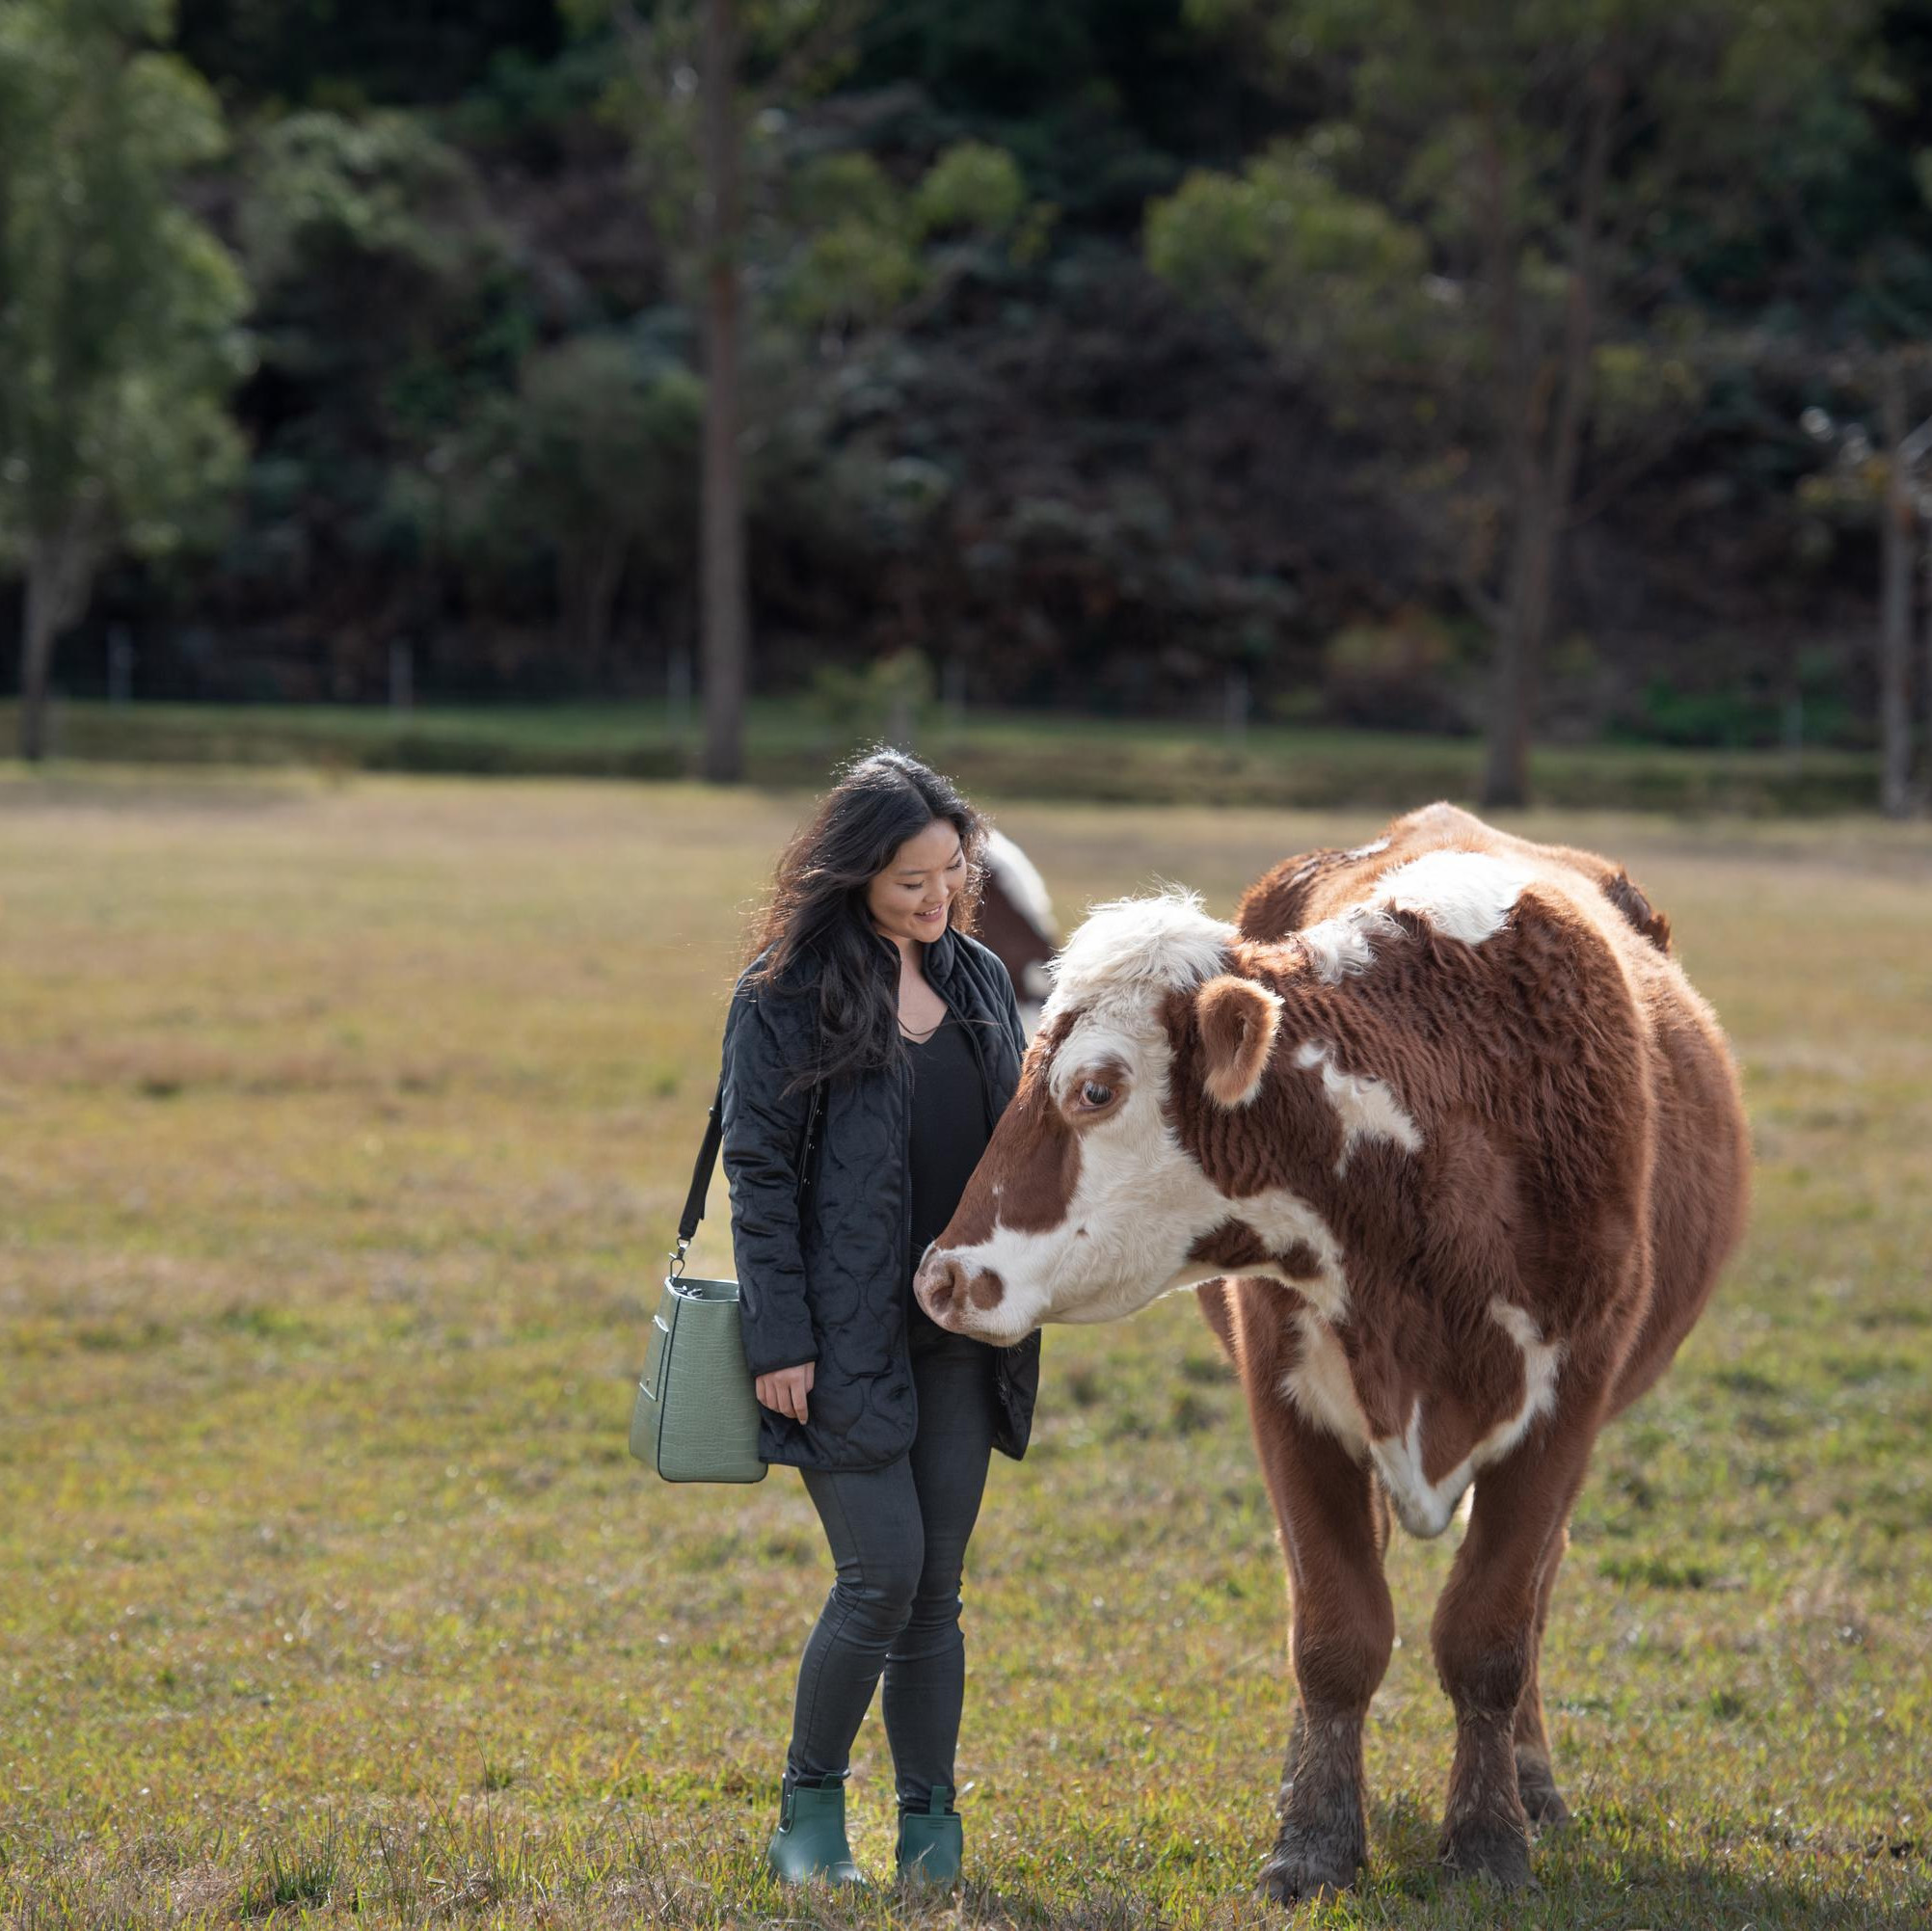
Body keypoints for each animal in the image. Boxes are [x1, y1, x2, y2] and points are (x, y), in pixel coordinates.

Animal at [913, 803, 1749, 1898]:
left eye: (1095, 1087)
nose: (942, 1276)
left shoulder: (1567, 1407)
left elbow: (1491, 1631)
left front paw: (1491, 1838)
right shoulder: (1289, 1402)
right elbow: (1335, 1628)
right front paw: (1311, 1833)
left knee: (1534, 1598)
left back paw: (1533, 1783)